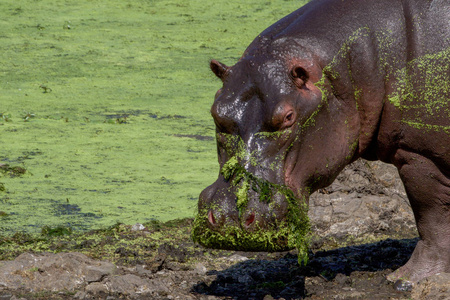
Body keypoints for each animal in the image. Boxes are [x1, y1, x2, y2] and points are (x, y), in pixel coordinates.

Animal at [192, 0, 448, 282]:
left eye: (288, 116)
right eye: (216, 111)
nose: (231, 216)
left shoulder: (420, 154)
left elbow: (431, 218)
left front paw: (407, 279)